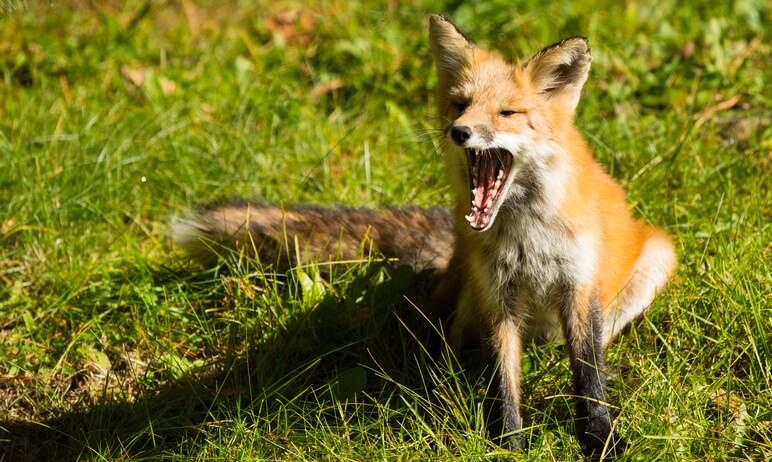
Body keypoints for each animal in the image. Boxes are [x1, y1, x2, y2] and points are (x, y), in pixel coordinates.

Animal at [173, 13, 676, 458]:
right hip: (468, 299)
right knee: (449, 350)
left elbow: (589, 379)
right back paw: (440, 385)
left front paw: (601, 442)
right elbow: (503, 385)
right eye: (459, 104)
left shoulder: (578, 287)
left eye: (507, 113)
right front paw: (508, 446)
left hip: (655, 261)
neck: (526, 236)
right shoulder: (497, 296)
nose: (459, 132)